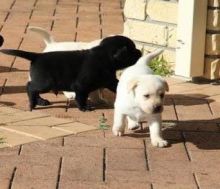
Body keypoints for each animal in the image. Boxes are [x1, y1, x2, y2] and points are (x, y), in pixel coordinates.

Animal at [0, 35, 141, 111]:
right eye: (132, 50)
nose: (140, 52)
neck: (104, 57)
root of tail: (37, 56)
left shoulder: (109, 80)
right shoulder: (81, 85)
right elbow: (81, 97)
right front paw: (84, 108)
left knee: (33, 89)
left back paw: (40, 101)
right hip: (45, 82)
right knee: (30, 87)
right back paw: (33, 104)